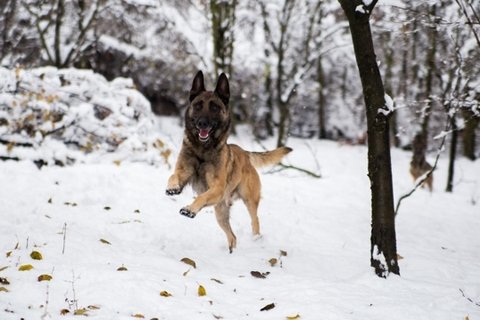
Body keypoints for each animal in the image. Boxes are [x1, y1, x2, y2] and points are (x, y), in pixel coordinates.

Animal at [165, 70, 292, 252]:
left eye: (214, 107)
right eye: (198, 105)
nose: (202, 123)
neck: (203, 151)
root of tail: (245, 153)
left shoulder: (216, 189)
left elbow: (201, 197)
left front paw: (190, 209)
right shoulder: (183, 172)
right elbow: (173, 176)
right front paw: (172, 187)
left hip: (249, 201)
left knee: (255, 220)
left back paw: (256, 239)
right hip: (220, 212)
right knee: (233, 237)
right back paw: (231, 252)